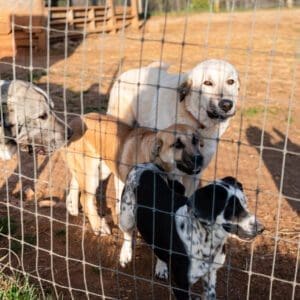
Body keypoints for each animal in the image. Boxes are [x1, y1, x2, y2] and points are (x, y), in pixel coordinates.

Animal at [64, 113, 203, 236]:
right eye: (177, 144)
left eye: (195, 140)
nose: (199, 158)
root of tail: (74, 121)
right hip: (91, 175)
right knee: (85, 199)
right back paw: (98, 226)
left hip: (99, 170)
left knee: (75, 182)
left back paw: (72, 207)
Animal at [119, 164, 264, 300]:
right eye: (232, 209)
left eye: (245, 204)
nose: (261, 228)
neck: (206, 242)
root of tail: (147, 165)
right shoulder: (180, 285)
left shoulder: (211, 274)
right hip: (126, 217)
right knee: (127, 234)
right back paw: (125, 254)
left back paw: (161, 266)